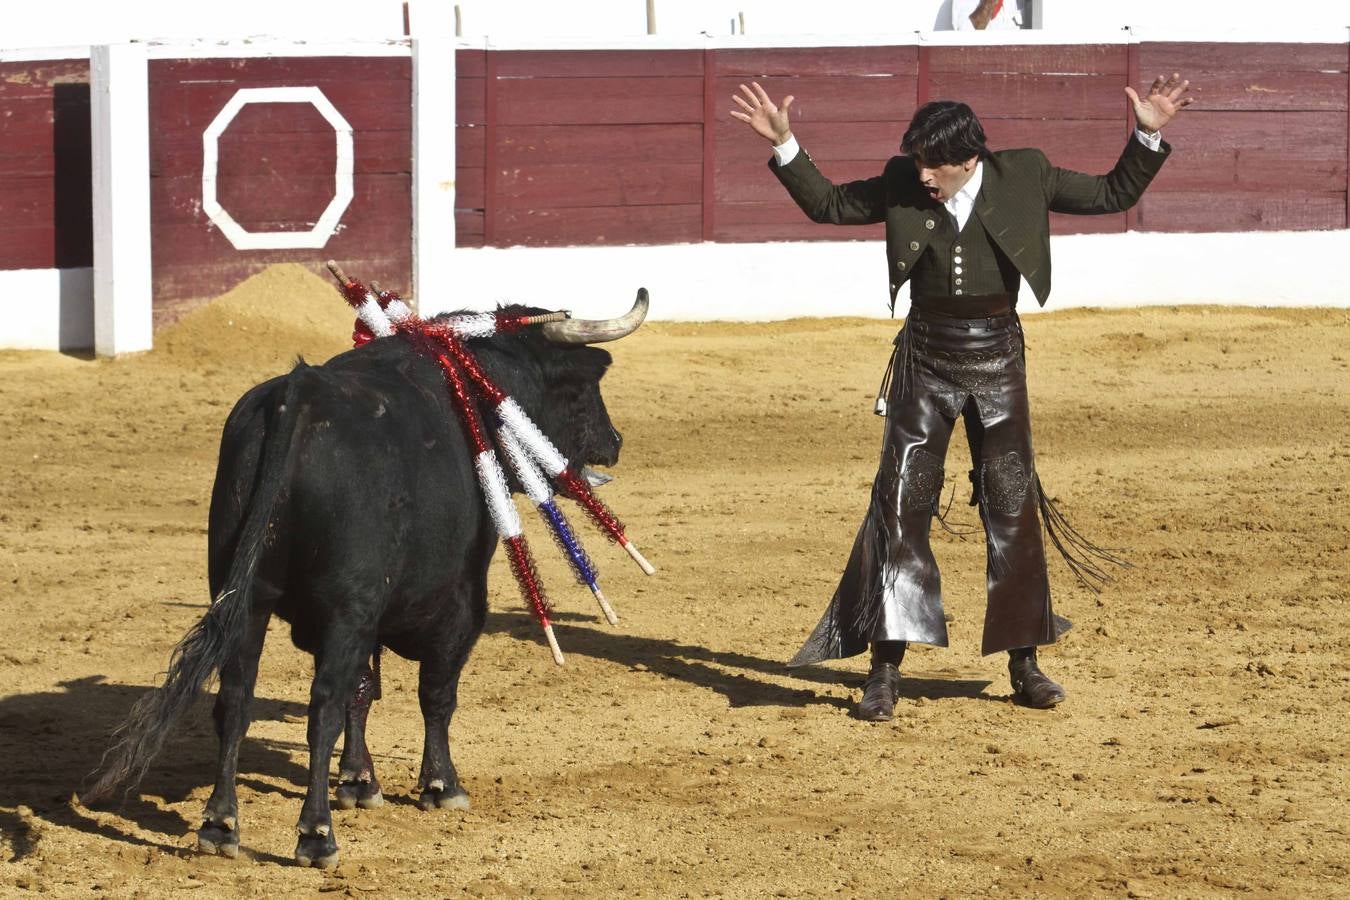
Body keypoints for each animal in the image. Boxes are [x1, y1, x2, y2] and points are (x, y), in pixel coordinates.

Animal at [87, 294, 645, 863]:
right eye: (583, 388)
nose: (615, 441)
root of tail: (297, 395)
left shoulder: (364, 612)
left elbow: (364, 689)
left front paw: (359, 782)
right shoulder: (454, 603)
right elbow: (433, 693)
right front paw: (441, 785)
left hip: (245, 600)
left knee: (236, 699)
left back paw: (220, 826)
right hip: (342, 609)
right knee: (322, 707)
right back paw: (316, 834)